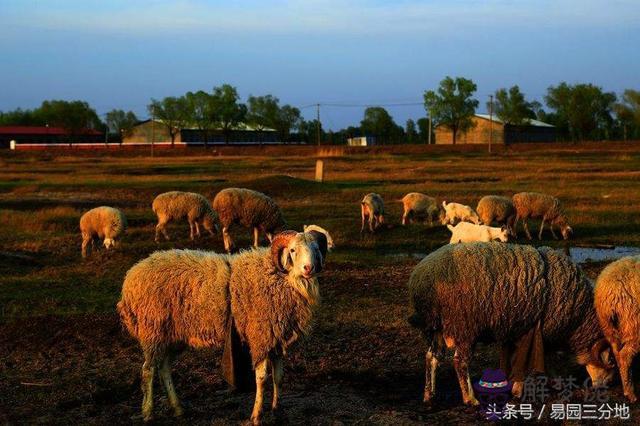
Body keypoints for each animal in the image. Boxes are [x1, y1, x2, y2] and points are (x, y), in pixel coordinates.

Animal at [117, 230, 328, 422]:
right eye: (292, 250)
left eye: (316, 249)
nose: (309, 268)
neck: (281, 276)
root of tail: (131, 277)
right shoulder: (260, 336)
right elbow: (261, 379)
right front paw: (256, 416)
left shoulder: (275, 338)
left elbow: (279, 377)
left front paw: (277, 410)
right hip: (153, 331)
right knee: (148, 370)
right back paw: (148, 413)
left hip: (172, 336)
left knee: (164, 368)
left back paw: (178, 409)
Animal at [410, 243, 616, 406]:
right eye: (611, 361)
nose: (605, 387)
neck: (578, 319)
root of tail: (421, 280)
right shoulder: (537, 330)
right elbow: (531, 360)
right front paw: (519, 391)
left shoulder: (523, 328)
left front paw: (554, 382)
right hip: (464, 326)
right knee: (460, 362)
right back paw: (470, 399)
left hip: (436, 328)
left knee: (432, 357)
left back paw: (429, 396)